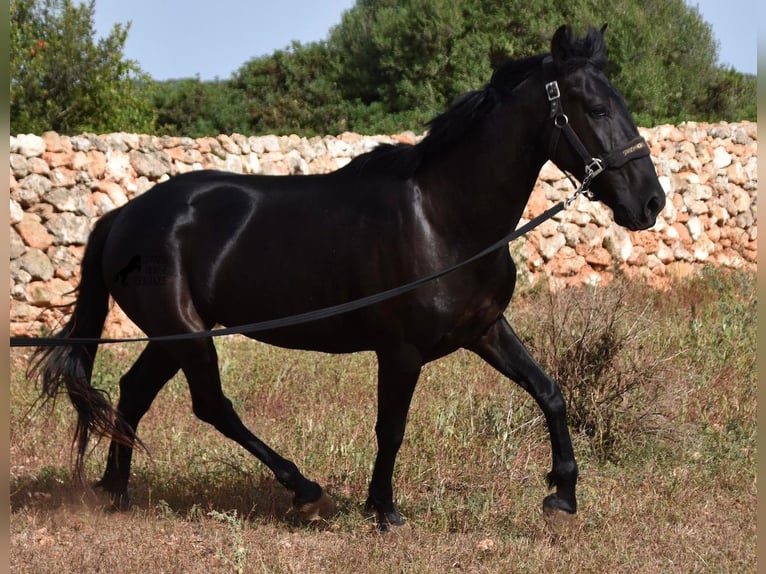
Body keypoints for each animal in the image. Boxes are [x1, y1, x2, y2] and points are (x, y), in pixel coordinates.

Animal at [30, 27, 664, 532]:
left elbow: (549, 391)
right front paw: (383, 510)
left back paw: (117, 491)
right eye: (595, 108)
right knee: (211, 405)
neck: (444, 219)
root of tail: (123, 216)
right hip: (186, 334)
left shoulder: (485, 330)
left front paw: (562, 495)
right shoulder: (401, 350)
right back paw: (304, 490)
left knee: (134, 392)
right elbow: (392, 427)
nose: (651, 203)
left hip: (173, 336)